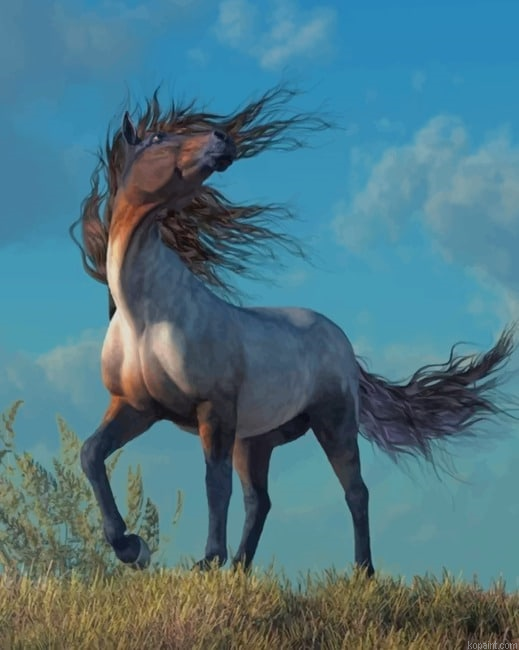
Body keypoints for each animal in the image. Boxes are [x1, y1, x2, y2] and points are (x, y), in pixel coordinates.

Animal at [72, 89, 517, 577]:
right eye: (156, 138)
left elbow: (214, 483)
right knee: (260, 501)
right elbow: (91, 454)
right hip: (255, 440)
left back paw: (362, 573)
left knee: (353, 491)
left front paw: (204, 560)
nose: (223, 138)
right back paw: (241, 570)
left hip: (332, 423)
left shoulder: (213, 410)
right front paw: (131, 547)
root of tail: (343, 344)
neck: (147, 318)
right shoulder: (137, 407)